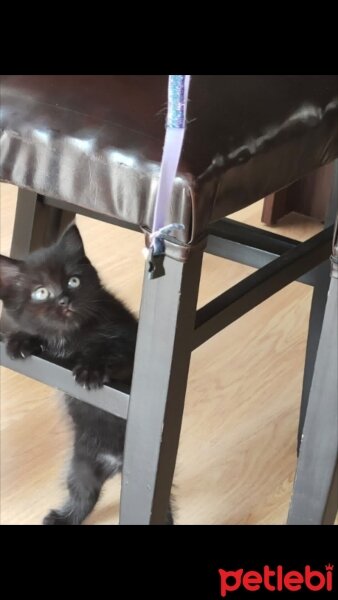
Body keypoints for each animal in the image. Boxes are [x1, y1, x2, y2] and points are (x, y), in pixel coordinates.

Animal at [0, 225, 173, 524]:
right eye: (41, 292)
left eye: (73, 281)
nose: (63, 300)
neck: (72, 336)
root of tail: (115, 464)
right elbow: (37, 334)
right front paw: (20, 341)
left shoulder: (128, 341)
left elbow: (109, 350)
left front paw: (90, 370)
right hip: (81, 465)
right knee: (84, 493)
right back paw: (61, 519)